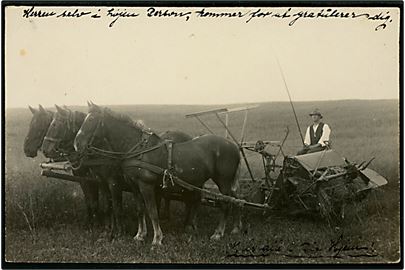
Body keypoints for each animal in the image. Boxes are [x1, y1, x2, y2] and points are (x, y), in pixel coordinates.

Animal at [74, 103, 241, 247]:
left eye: (91, 120)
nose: (77, 144)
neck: (138, 150)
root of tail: (233, 146)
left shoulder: (146, 186)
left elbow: (152, 211)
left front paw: (157, 239)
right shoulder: (134, 186)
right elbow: (140, 209)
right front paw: (139, 235)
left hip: (223, 181)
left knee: (225, 204)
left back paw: (218, 233)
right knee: (231, 200)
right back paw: (231, 228)